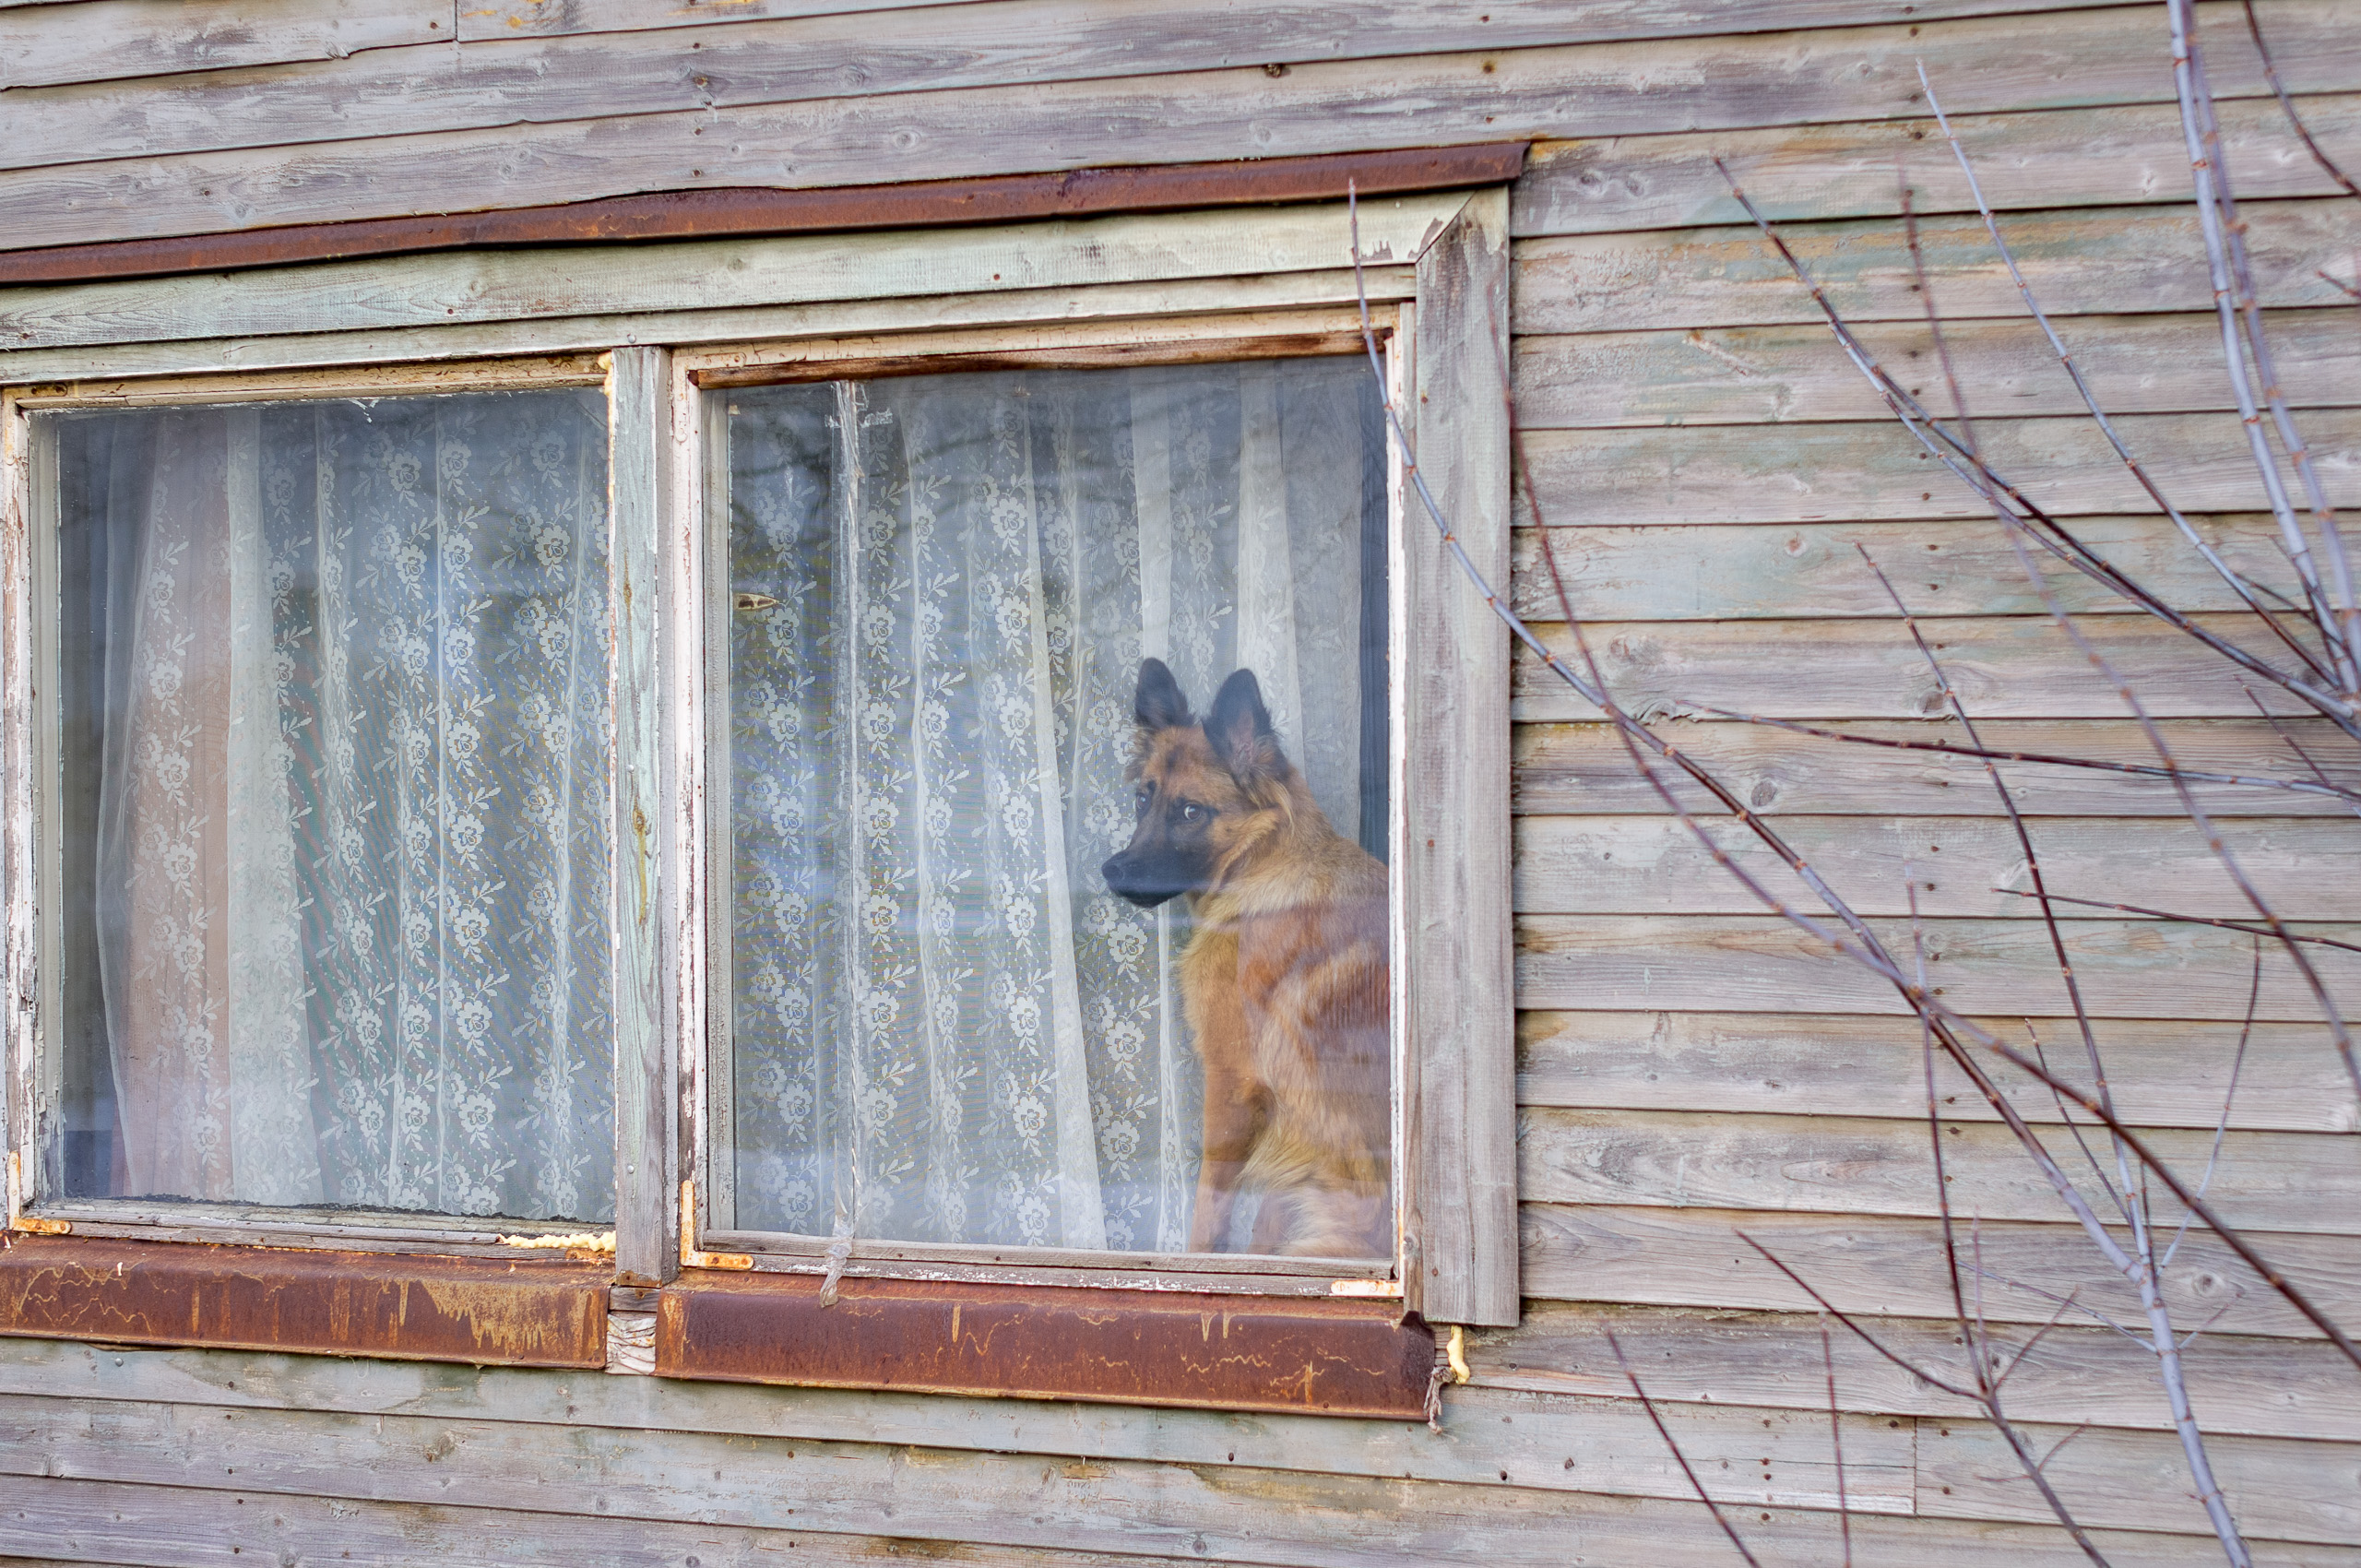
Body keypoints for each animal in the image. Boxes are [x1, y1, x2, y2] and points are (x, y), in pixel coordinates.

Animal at [1095, 656, 1388, 1256]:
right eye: (1144, 798)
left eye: (1191, 811)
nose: (1112, 871)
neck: (1259, 866)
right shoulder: (1289, 1118)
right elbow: (1266, 1222)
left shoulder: (1231, 1082)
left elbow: (1211, 1205)